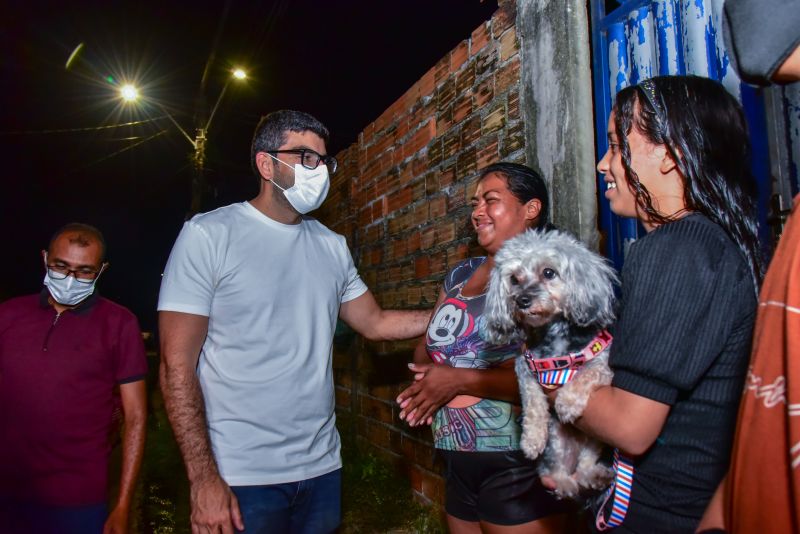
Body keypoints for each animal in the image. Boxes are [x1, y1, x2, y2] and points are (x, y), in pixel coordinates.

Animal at [482, 230, 620, 502]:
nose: (522, 300)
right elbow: (534, 404)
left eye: (548, 272)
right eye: (514, 279)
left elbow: (586, 372)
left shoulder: (603, 361)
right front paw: (531, 439)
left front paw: (567, 402)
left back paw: (595, 475)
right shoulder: (525, 368)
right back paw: (565, 482)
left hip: (595, 439)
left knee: (585, 465)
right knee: (557, 470)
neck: (554, 336)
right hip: (556, 441)